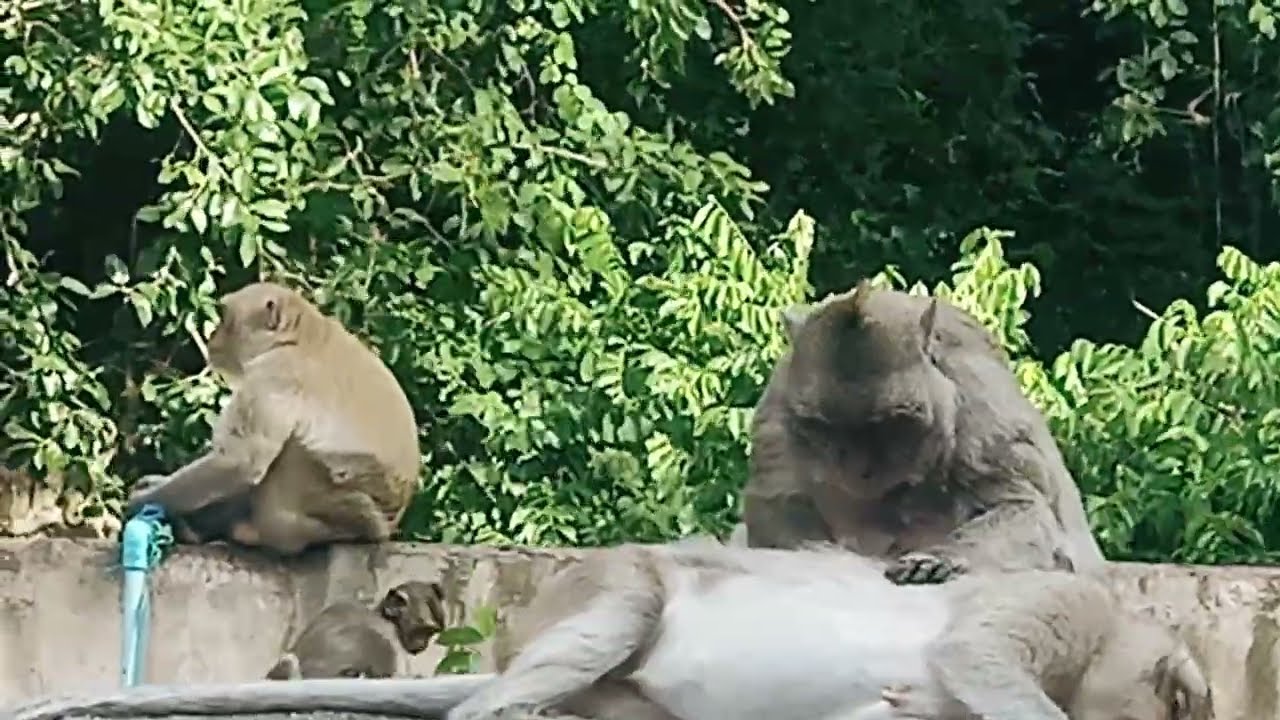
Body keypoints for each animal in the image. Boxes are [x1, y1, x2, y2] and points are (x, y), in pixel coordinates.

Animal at [124, 281, 422, 556]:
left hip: (339, 509)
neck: (300, 335)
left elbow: (239, 462)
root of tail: (384, 529)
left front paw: (141, 501)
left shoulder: (275, 373)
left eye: (225, 318)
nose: (212, 337)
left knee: (293, 453)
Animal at [743, 280, 1106, 585]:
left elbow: (1024, 508)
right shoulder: (777, 412)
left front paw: (939, 558)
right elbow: (773, 503)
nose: (858, 469)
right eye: (823, 428)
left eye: (889, 426)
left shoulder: (979, 410)